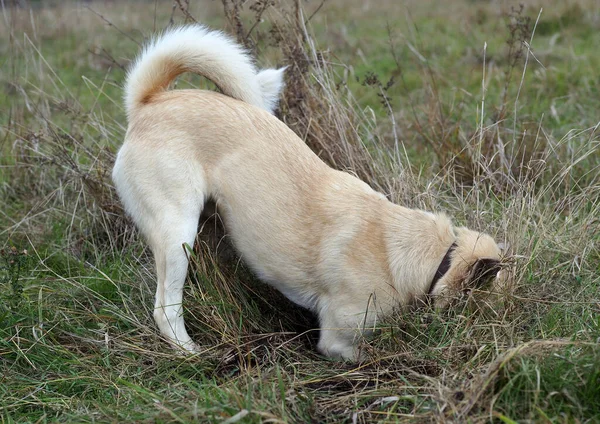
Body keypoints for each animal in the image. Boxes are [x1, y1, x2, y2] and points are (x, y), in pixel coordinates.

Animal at [112, 24, 502, 362]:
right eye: (483, 306)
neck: (422, 254)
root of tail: (149, 101)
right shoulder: (337, 339)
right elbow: (366, 351)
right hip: (177, 234)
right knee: (165, 308)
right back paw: (189, 352)